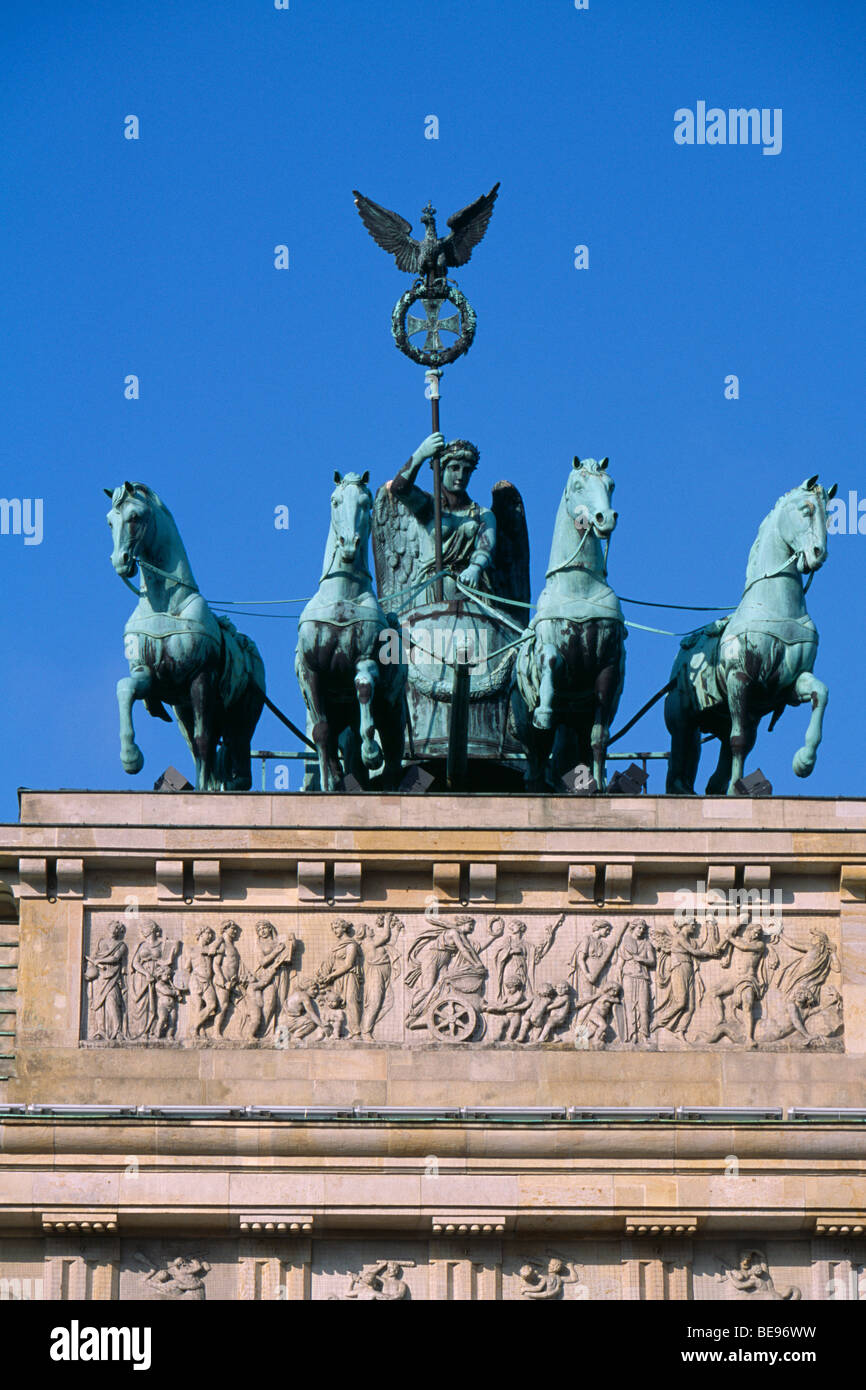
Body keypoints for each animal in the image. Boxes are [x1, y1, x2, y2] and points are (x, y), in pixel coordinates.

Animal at [104, 486, 264, 795]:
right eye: (109, 521)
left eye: (135, 516)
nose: (120, 561)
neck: (164, 605)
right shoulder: (149, 675)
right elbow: (125, 687)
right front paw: (131, 757)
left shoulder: (201, 677)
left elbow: (204, 741)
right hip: (183, 711)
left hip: (242, 716)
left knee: (231, 756)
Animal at [297, 469, 405, 789]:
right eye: (335, 501)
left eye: (366, 503)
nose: (347, 544)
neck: (341, 598)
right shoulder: (311, 671)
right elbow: (321, 731)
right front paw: (329, 783)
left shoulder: (365, 658)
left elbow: (364, 687)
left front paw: (372, 753)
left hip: (392, 708)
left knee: (392, 747)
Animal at [517, 453, 625, 789]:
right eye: (578, 486)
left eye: (611, 485)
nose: (605, 518)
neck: (579, 589)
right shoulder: (548, 647)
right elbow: (551, 659)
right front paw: (545, 710)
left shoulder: (608, 667)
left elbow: (599, 737)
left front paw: (599, 787)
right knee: (536, 762)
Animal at [667, 475, 839, 795]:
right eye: (806, 510)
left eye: (830, 517)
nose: (819, 554)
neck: (775, 606)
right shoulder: (740, 678)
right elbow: (740, 741)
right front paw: (738, 789)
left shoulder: (786, 684)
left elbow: (820, 693)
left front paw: (804, 762)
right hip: (683, 718)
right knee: (681, 755)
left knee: (717, 768)